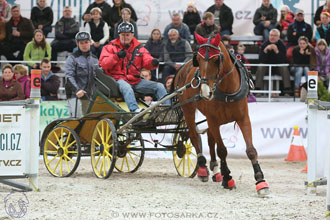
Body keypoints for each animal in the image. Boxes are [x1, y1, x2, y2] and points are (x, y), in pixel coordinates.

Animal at [174, 33, 270, 196]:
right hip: (188, 110)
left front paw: (260, 181)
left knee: (209, 139)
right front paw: (228, 178)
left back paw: (215, 170)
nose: (205, 92)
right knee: (194, 136)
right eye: (198, 59)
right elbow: (222, 150)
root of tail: (183, 67)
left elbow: (251, 150)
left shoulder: (243, 118)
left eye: (216, 60)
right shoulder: (213, 120)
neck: (227, 90)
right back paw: (203, 168)